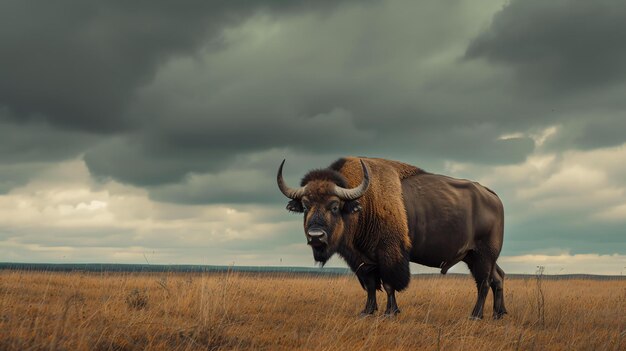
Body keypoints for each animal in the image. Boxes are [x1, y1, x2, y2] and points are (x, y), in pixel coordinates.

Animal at [276, 158, 504, 320]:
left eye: (334, 206)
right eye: (305, 205)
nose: (316, 236)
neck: (362, 204)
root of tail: (493, 197)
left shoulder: (388, 255)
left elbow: (388, 285)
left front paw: (389, 312)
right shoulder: (363, 261)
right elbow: (370, 286)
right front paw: (367, 312)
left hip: (483, 256)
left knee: (484, 283)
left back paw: (476, 315)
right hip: (475, 257)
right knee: (498, 277)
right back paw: (499, 314)